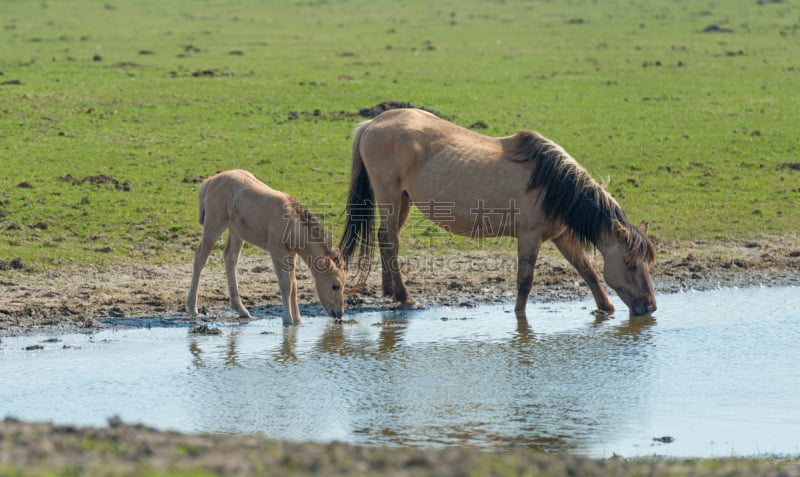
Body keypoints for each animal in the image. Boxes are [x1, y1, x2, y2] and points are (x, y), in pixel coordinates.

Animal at [186, 168, 346, 324]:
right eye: (335, 286)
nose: (340, 313)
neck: (292, 222)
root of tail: (210, 181)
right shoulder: (277, 251)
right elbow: (286, 284)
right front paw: (288, 319)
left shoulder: (291, 253)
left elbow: (294, 285)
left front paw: (298, 319)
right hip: (214, 226)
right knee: (200, 259)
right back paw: (192, 306)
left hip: (236, 232)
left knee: (230, 259)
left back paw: (241, 309)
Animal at [338, 108, 656, 316]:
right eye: (630, 264)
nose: (650, 306)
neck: (552, 184)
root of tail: (374, 122)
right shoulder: (530, 237)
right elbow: (525, 281)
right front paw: (519, 316)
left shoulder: (561, 236)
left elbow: (587, 270)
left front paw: (605, 307)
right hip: (390, 196)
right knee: (390, 240)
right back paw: (406, 298)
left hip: (403, 200)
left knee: (385, 237)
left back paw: (391, 292)